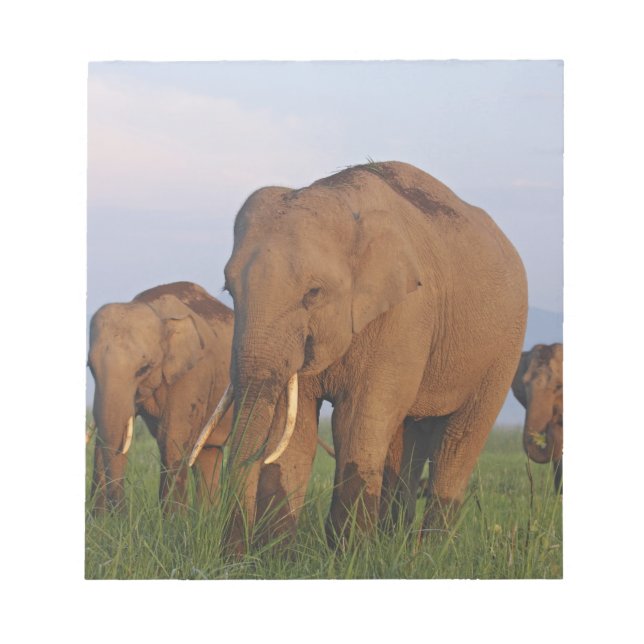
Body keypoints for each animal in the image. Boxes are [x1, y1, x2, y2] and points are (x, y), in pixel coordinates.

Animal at [87, 281, 234, 513]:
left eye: (144, 369)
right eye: (90, 368)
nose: (120, 515)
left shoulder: (193, 374)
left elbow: (172, 440)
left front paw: (173, 521)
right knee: (208, 452)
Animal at [191, 161, 528, 549]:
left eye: (313, 292)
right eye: (229, 290)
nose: (232, 554)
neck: (340, 196)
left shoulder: (405, 313)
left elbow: (355, 422)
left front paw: (347, 554)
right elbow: (294, 431)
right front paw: (278, 555)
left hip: (505, 347)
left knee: (459, 442)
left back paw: (428, 552)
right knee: (406, 440)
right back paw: (394, 545)